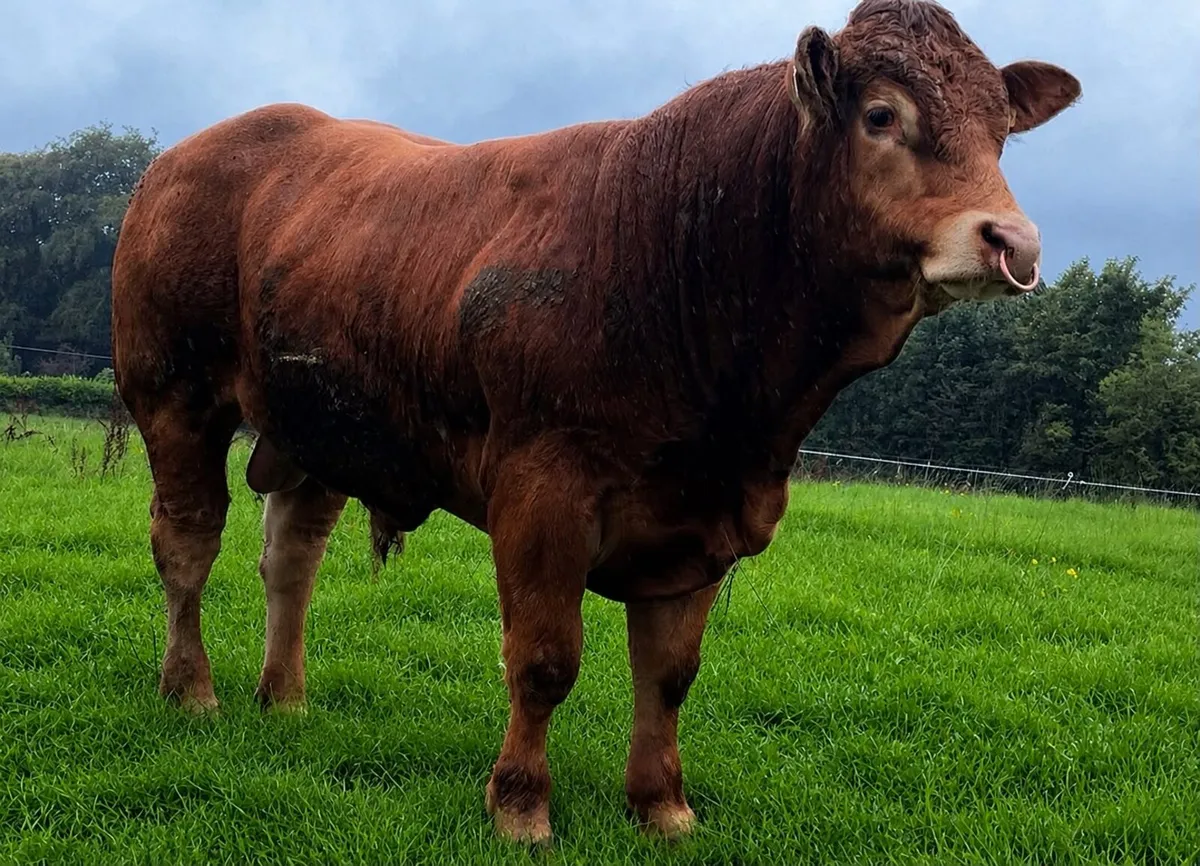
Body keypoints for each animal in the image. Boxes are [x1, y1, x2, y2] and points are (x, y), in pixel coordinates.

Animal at [110, 0, 1080, 845]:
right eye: (881, 115)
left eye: (999, 131)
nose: (1015, 243)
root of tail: (186, 153)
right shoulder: (543, 494)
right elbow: (545, 659)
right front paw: (519, 805)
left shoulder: (706, 520)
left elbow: (670, 674)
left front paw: (663, 808)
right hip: (171, 394)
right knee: (187, 543)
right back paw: (192, 690)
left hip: (319, 428)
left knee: (290, 561)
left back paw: (286, 699)